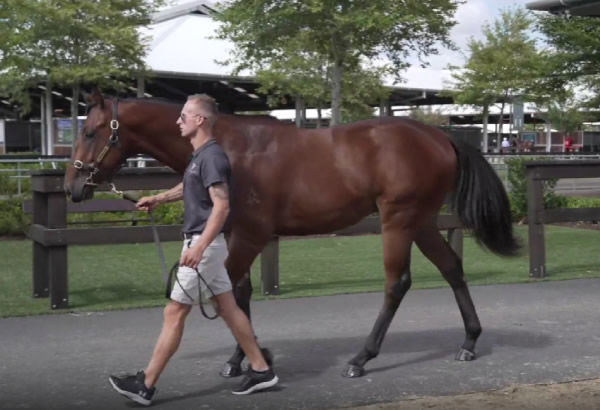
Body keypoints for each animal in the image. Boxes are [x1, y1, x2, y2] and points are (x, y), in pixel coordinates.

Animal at [63, 91, 516, 380]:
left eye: (89, 132)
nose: (72, 187)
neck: (230, 148)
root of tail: (440, 135)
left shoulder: (251, 236)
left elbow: (229, 294)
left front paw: (253, 357)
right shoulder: (237, 233)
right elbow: (239, 293)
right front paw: (242, 358)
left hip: (398, 220)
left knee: (397, 283)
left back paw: (361, 358)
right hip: (421, 221)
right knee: (452, 267)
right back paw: (469, 341)